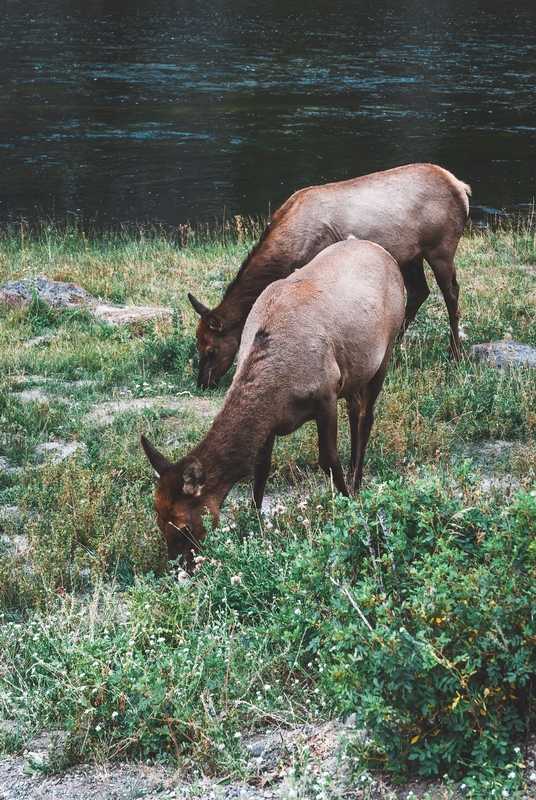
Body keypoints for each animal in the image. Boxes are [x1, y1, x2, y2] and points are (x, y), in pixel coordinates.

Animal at [141, 238, 402, 568]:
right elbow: (261, 467)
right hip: (354, 371)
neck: (279, 390)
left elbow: (328, 459)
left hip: (386, 348)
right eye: (159, 523)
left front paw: (346, 503)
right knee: (356, 409)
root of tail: (382, 251)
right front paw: (254, 522)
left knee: (367, 415)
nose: (182, 566)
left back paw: (356, 481)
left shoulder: (326, 395)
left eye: (184, 526)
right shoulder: (270, 423)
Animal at [187, 162, 468, 388]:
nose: (203, 382)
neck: (287, 250)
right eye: (197, 343)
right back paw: (396, 343)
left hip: (441, 247)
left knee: (451, 293)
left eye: (210, 349)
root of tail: (462, 188)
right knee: (420, 291)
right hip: (412, 255)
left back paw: (454, 354)